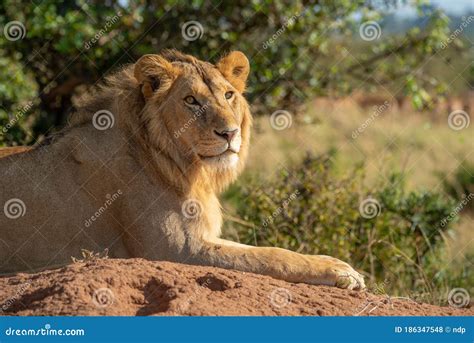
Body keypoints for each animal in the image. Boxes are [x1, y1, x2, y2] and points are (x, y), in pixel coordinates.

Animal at [0, 49, 364, 290]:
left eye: (228, 95)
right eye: (191, 101)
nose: (230, 133)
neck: (187, 169)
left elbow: (261, 251)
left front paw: (335, 263)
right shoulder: (175, 249)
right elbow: (269, 256)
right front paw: (342, 272)